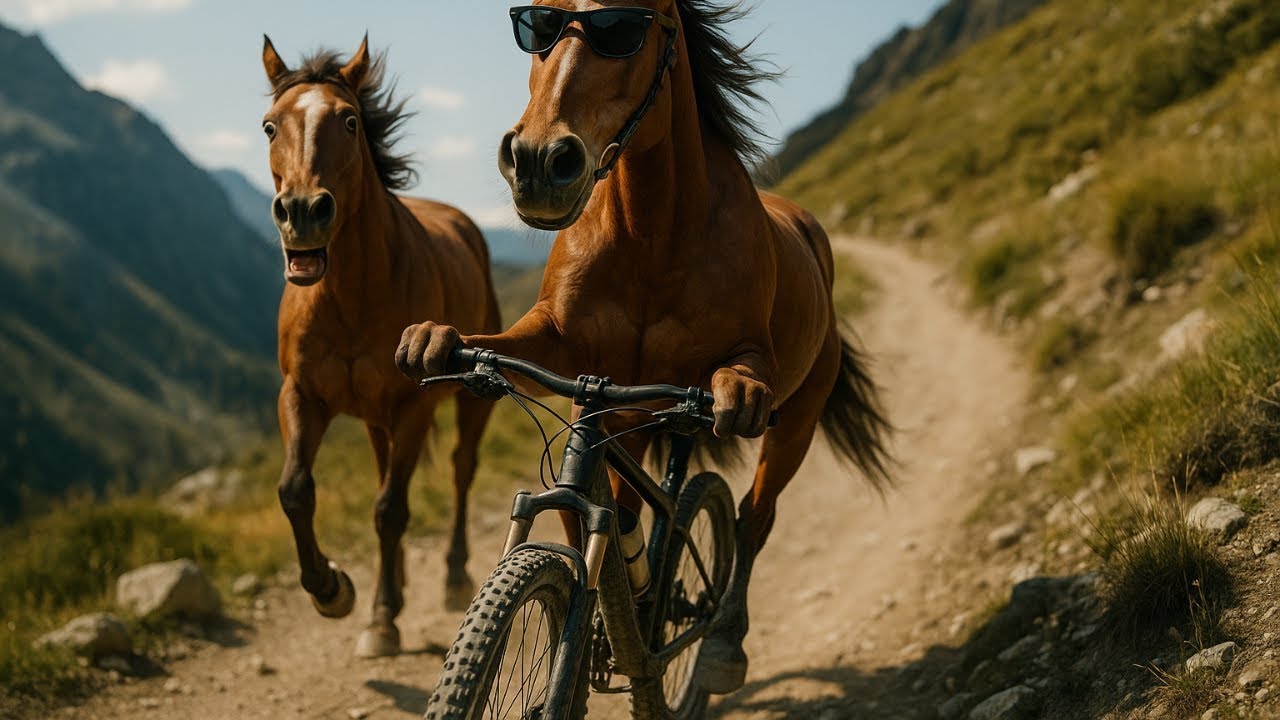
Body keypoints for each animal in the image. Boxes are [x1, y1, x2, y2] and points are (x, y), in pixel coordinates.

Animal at [261, 35, 501, 658]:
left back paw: (451, 575)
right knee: (384, 471)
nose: (303, 212)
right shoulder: (301, 396)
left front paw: (381, 617)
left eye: (349, 120)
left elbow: (391, 509)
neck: (350, 300)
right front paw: (333, 590)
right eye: (270, 126)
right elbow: (295, 491)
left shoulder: (415, 405)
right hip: (374, 419)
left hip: (466, 402)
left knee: (460, 471)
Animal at [396, 0, 891, 693]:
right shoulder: (555, 346)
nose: (539, 161)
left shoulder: (749, 361)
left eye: (624, 29)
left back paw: (717, 643)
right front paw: (435, 340)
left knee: (749, 519)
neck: (653, 234)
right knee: (629, 512)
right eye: (536, 26)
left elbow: (742, 391)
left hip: (789, 422)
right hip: (622, 412)